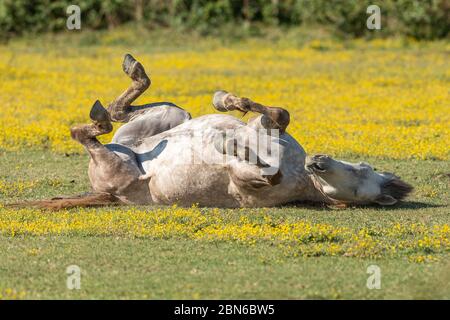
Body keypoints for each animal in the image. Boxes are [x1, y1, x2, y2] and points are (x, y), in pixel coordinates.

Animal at [29, 55, 414, 210]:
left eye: (359, 186)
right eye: (362, 167)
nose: (317, 162)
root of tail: (105, 193)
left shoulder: (249, 184)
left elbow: (264, 173)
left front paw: (228, 143)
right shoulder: (267, 127)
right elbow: (278, 113)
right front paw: (226, 101)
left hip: (116, 166)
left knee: (90, 131)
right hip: (169, 118)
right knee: (119, 111)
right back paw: (134, 69)